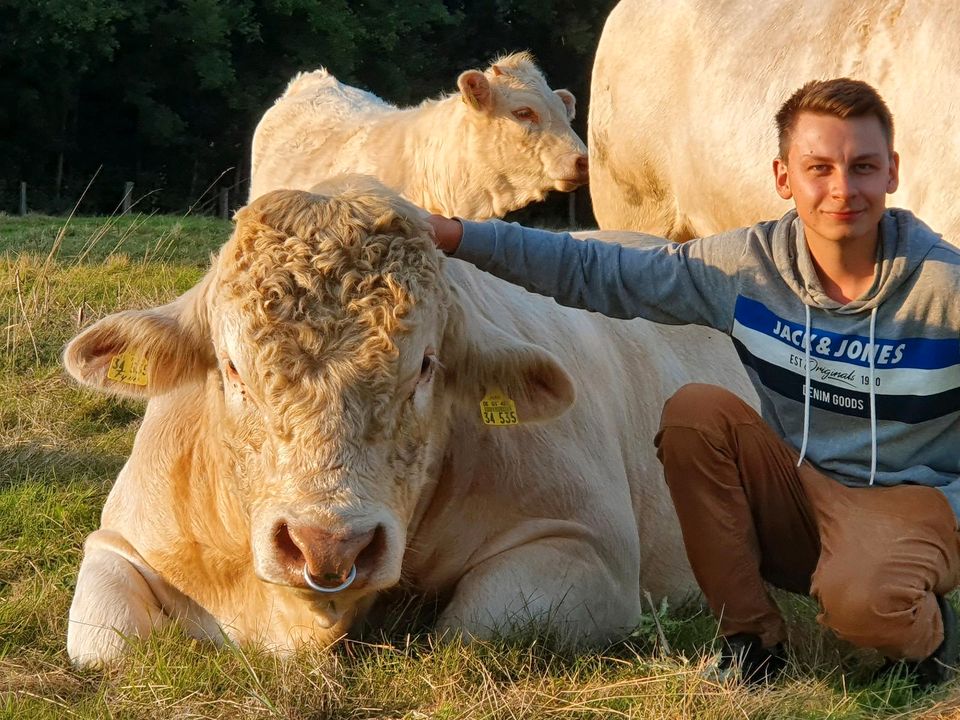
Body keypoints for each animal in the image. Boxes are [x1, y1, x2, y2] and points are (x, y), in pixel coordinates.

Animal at [63, 180, 752, 668]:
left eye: (425, 365)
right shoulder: (120, 543)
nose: (329, 544)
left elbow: (471, 633)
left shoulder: (587, 552)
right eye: (233, 366)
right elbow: (105, 646)